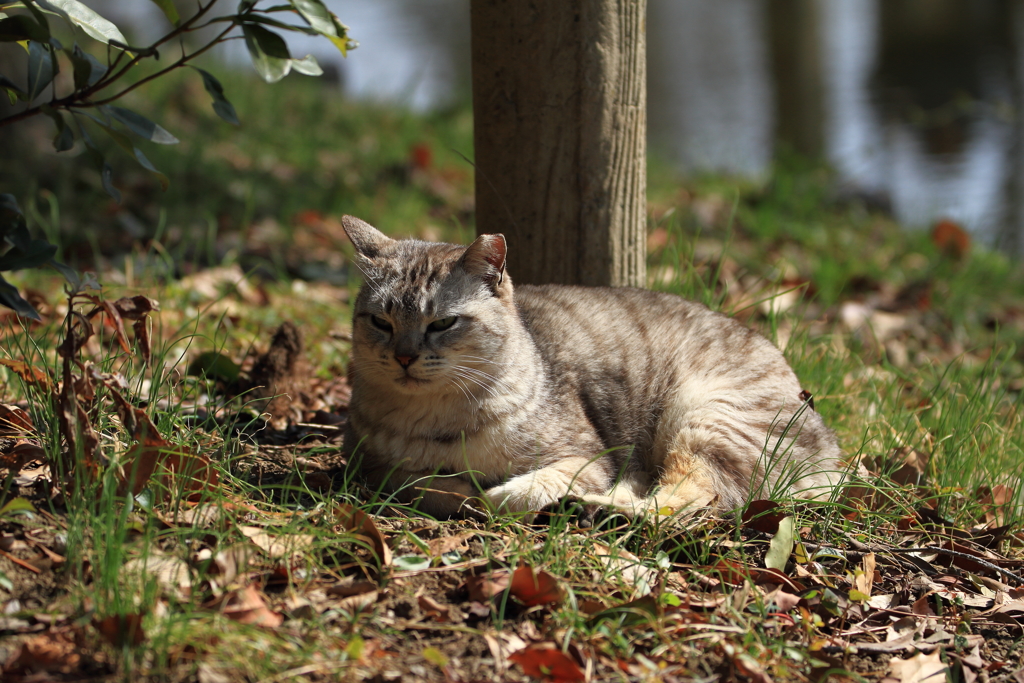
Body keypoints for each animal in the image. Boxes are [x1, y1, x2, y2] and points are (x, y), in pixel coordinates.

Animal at [342, 215, 839, 518]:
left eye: (443, 323)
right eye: (381, 322)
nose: (404, 356)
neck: (439, 417)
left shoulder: (589, 455)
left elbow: (529, 486)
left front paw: (498, 494)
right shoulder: (367, 464)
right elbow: (416, 482)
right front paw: (460, 490)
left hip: (707, 420)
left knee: (690, 501)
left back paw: (603, 506)